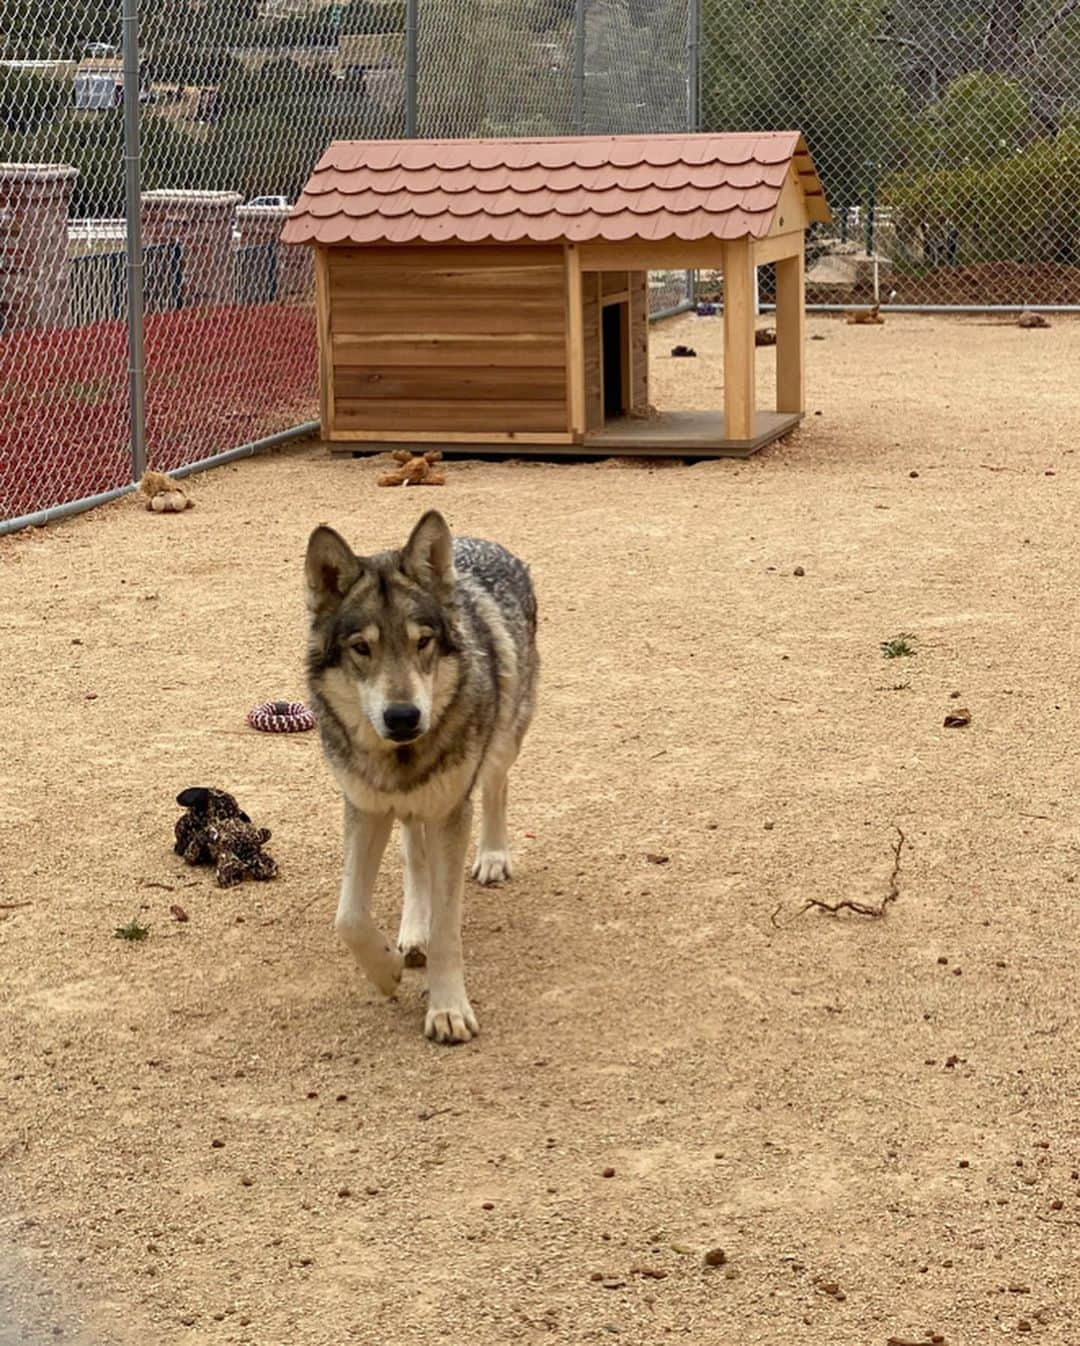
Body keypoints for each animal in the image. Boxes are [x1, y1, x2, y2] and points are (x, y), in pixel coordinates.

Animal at [302, 508, 538, 1044]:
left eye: (423, 642)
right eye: (361, 648)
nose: (403, 717)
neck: (400, 759)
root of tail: (478, 540)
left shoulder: (450, 810)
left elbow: (449, 930)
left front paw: (448, 1010)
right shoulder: (365, 807)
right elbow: (348, 918)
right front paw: (387, 968)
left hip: (503, 742)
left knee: (497, 789)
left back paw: (493, 857)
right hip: (409, 808)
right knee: (415, 855)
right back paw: (412, 931)